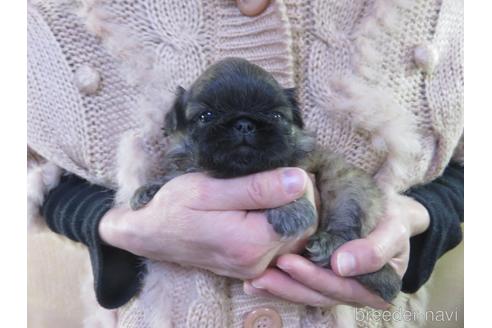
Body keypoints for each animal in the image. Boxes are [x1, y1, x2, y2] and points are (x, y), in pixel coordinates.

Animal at [132, 57, 404, 302]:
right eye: (206, 116)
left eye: (274, 116)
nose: (243, 123)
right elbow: (177, 173)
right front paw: (150, 188)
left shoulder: (301, 164)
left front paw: (291, 210)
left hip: (344, 183)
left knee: (346, 228)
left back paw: (329, 242)